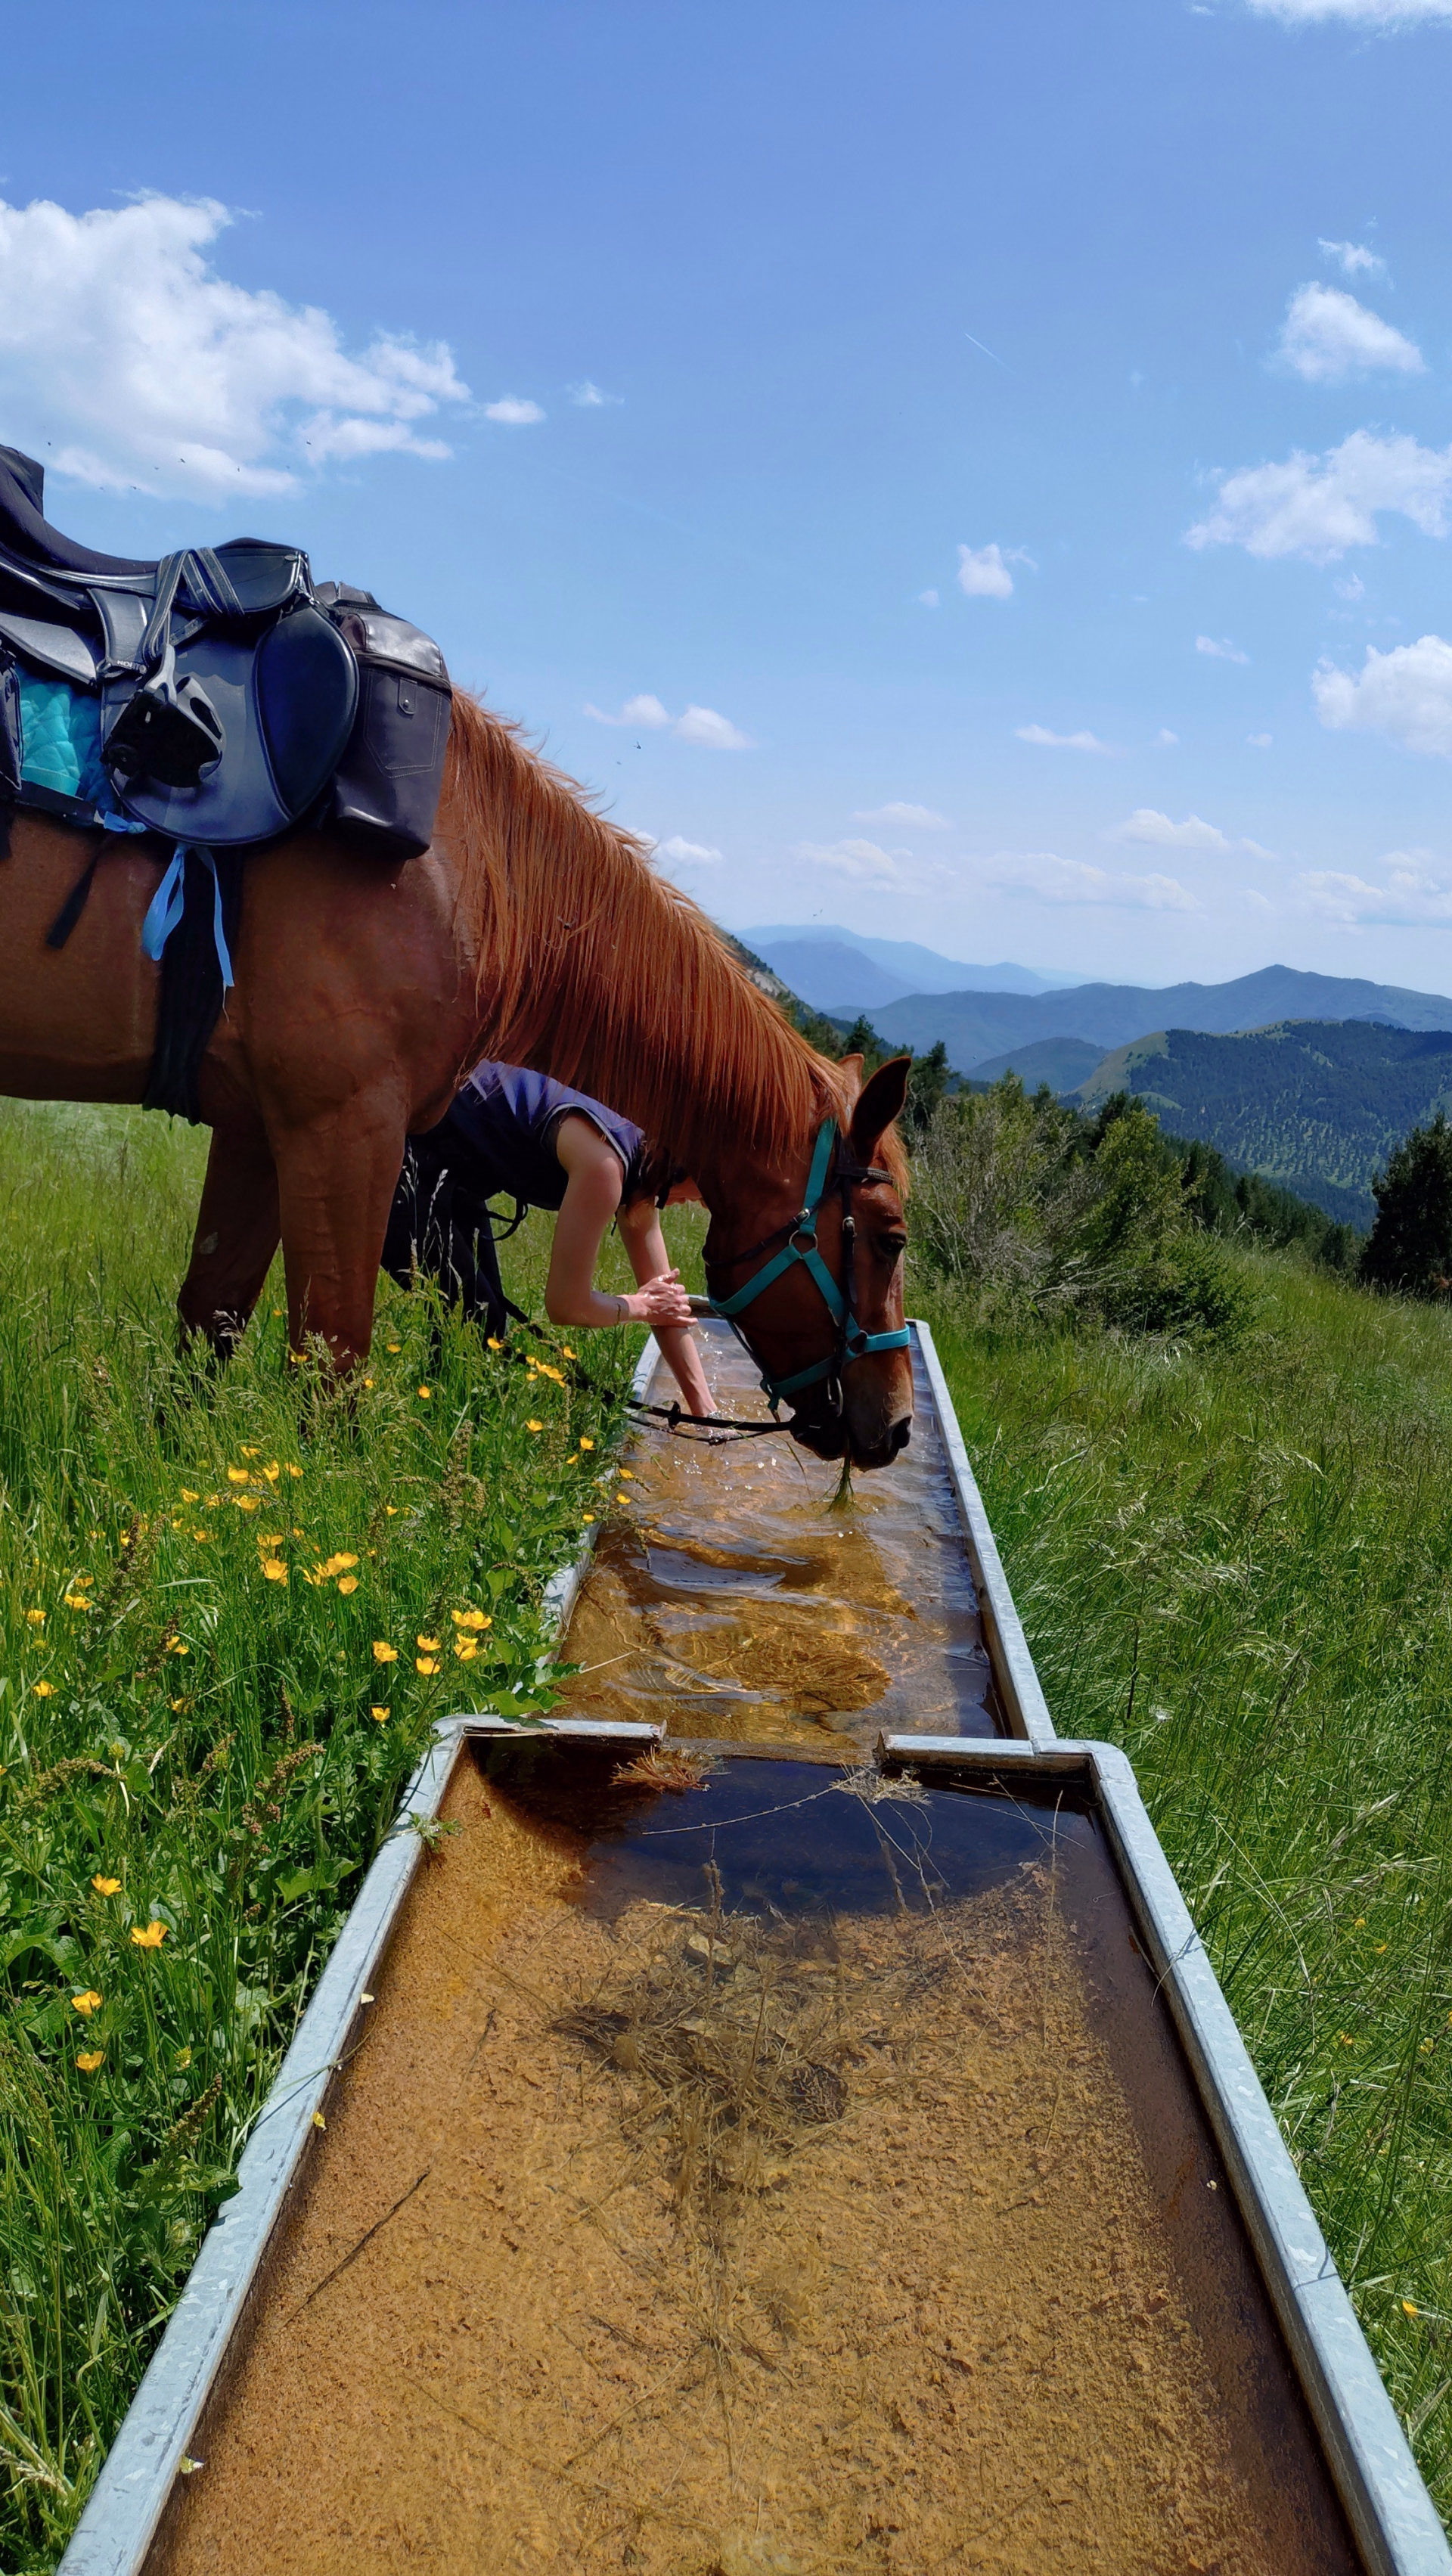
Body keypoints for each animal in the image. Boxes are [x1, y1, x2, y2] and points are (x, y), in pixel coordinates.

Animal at [0, 694, 914, 1468]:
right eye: (890, 1238)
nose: (899, 1428)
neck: (470, 865)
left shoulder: (257, 1125)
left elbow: (209, 1325)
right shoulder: (346, 1126)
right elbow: (332, 1371)